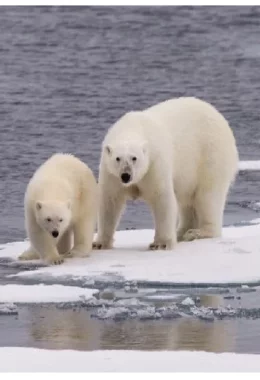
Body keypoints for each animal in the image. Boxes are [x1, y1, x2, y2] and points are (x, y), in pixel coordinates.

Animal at [92, 96, 239, 251]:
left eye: (134, 158)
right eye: (117, 158)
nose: (126, 175)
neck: (133, 127)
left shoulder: (154, 164)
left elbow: (162, 197)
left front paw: (160, 243)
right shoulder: (110, 173)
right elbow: (110, 201)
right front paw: (99, 243)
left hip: (211, 155)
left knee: (207, 196)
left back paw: (197, 232)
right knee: (187, 200)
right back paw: (181, 232)